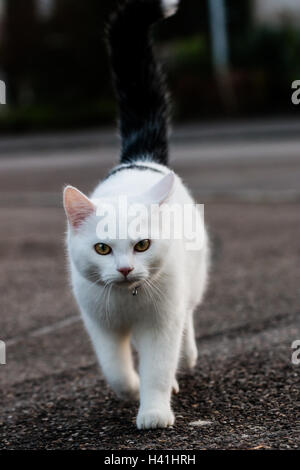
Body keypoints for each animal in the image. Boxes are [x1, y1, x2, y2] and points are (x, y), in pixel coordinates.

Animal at [63, 0, 209, 430]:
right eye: (102, 249)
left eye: (143, 245)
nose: (126, 269)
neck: (129, 300)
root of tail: (138, 159)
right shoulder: (100, 324)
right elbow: (115, 369)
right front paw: (129, 390)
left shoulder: (161, 323)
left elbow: (158, 367)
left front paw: (155, 411)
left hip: (191, 281)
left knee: (188, 317)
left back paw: (187, 357)